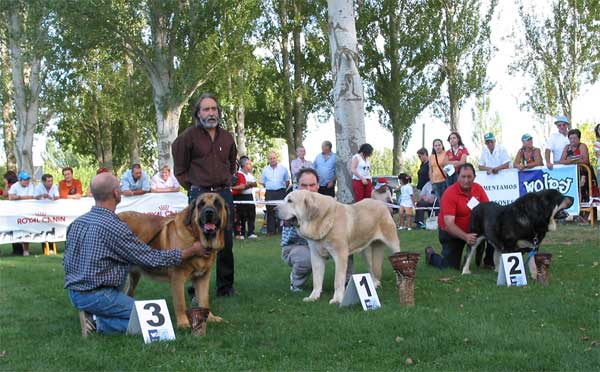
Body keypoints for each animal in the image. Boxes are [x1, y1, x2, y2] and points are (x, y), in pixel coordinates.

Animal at [119, 193, 227, 326]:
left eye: (217, 204)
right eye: (201, 204)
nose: (209, 212)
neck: (196, 236)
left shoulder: (203, 277)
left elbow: (204, 299)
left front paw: (211, 318)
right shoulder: (177, 278)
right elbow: (180, 302)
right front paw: (183, 323)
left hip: (134, 276)